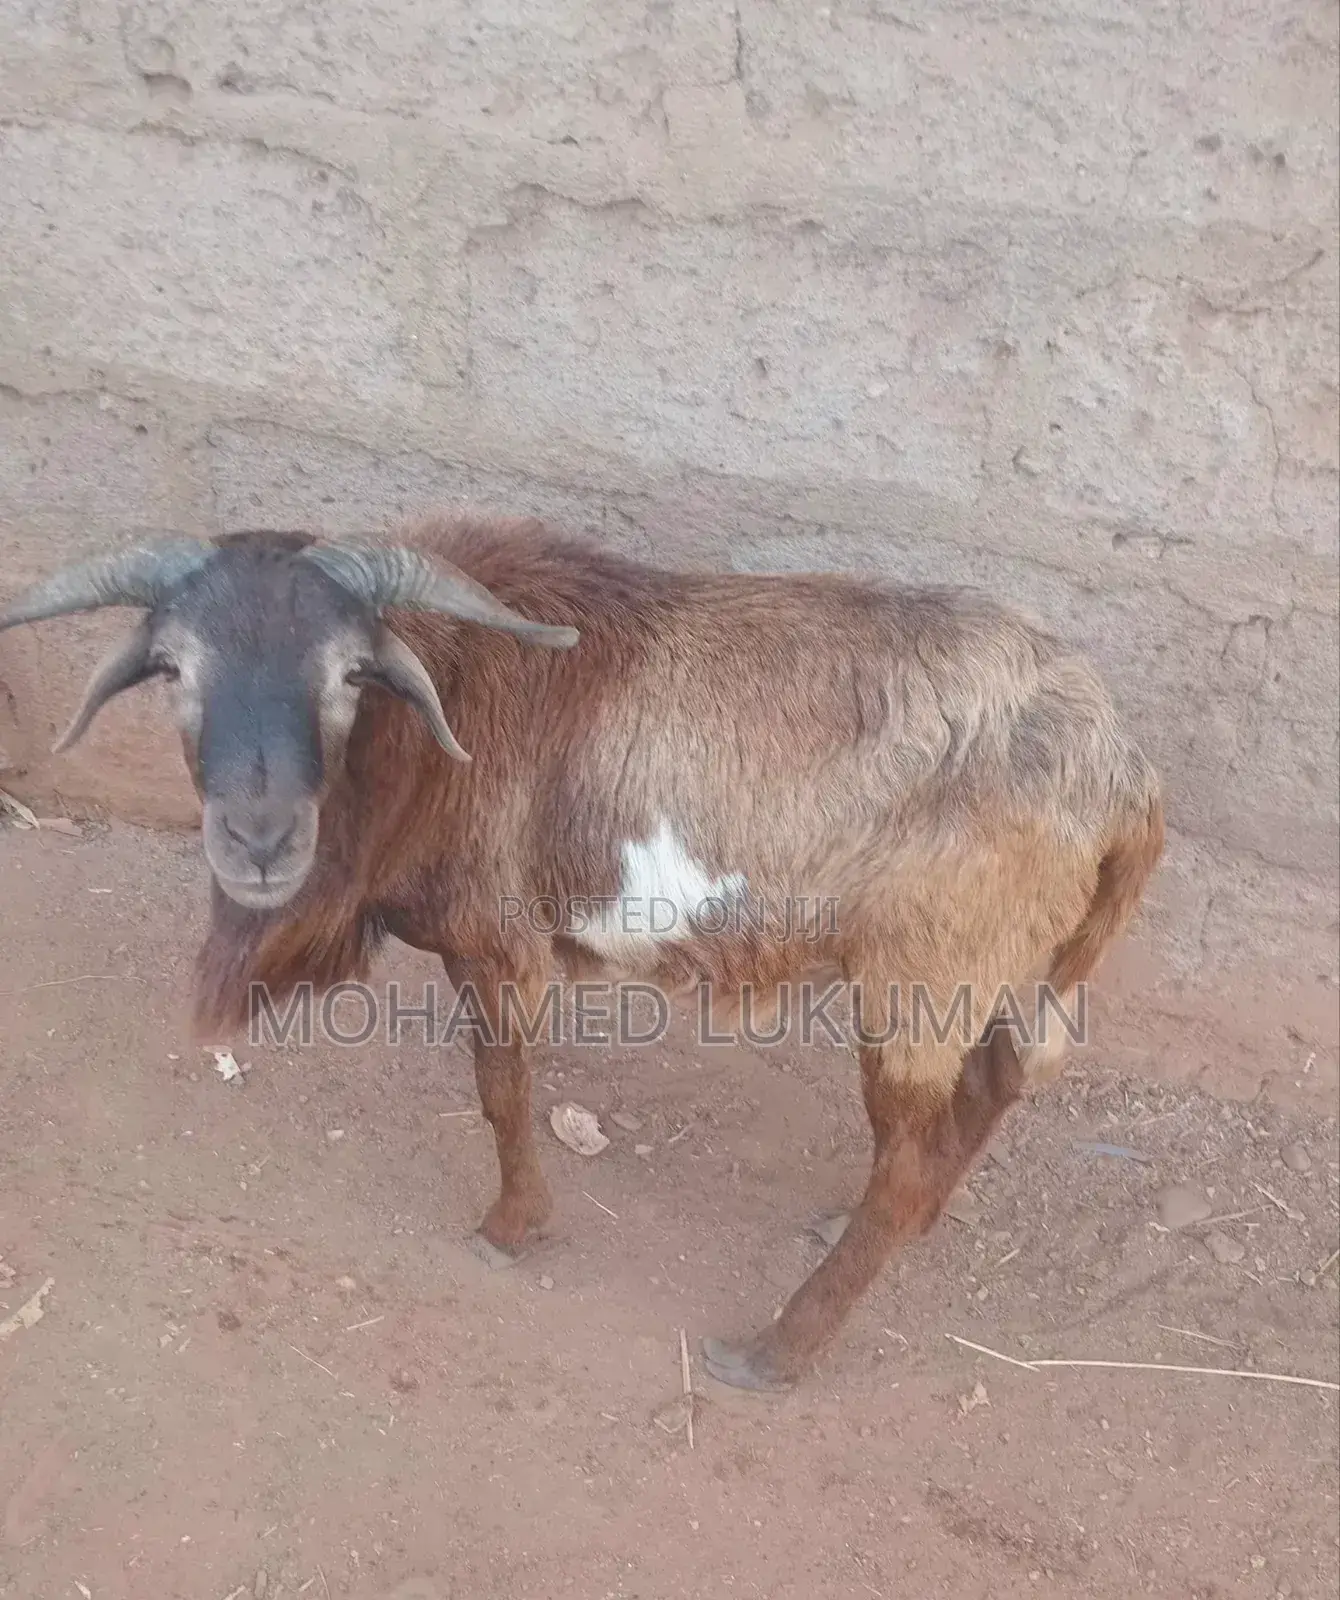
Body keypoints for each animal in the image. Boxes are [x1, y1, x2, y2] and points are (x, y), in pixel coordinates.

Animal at [0, 514, 1164, 1392]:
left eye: (348, 671)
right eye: (173, 667)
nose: (258, 838)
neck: (447, 705)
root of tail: (1122, 773)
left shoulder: (498, 937)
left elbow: (501, 1088)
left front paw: (511, 1226)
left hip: (923, 970)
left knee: (914, 1153)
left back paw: (774, 1350)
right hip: (1003, 967)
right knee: (994, 1081)